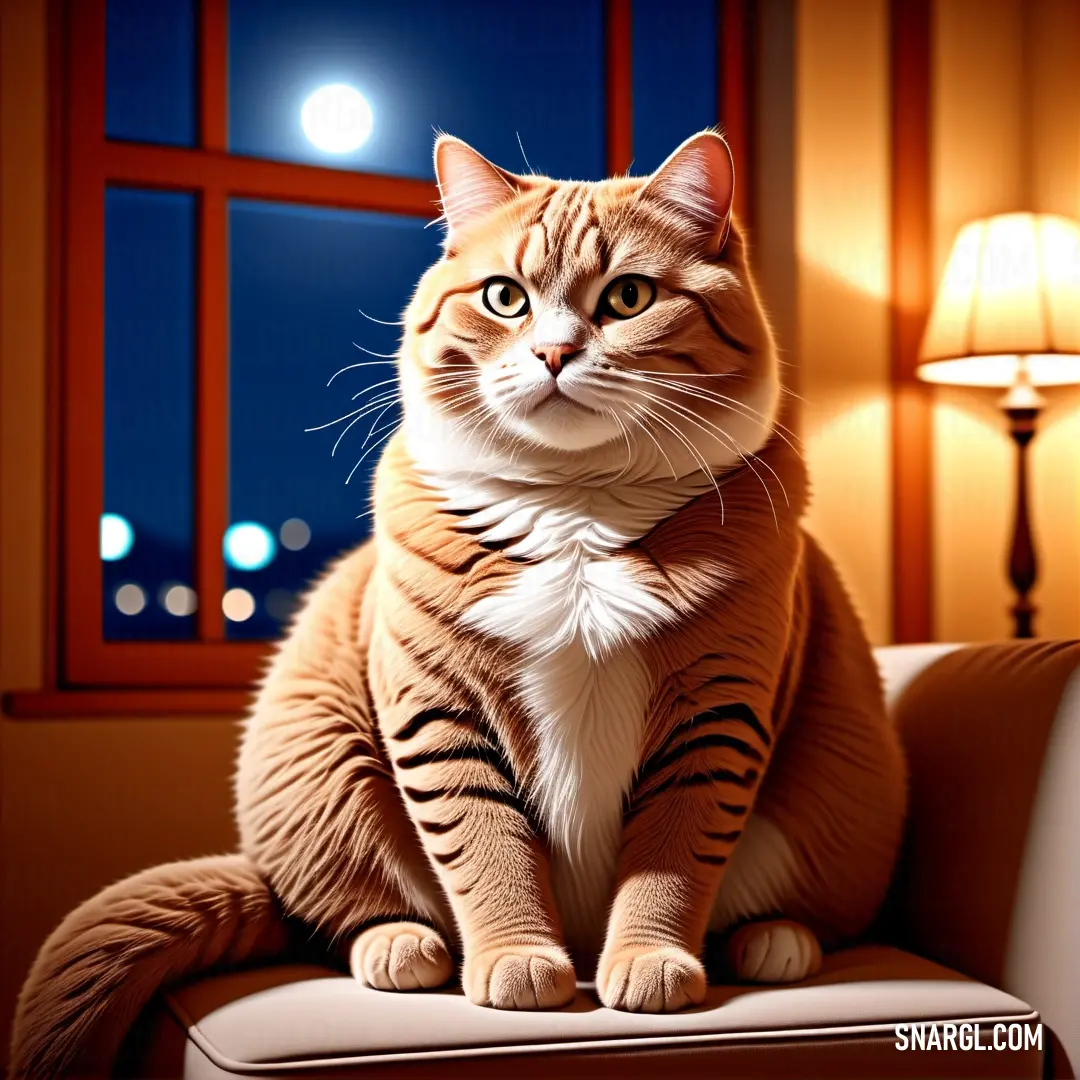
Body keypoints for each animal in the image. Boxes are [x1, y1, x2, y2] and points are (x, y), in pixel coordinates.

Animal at [10, 130, 902, 1075]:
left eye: (628, 297)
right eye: (504, 298)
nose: (554, 353)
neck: (576, 510)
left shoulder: (718, 714)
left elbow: (674, 849)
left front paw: (651, 959)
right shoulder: (437, 710)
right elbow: (483, 844)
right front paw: (516, 958)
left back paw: (774, 940)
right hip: (314, 761)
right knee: (332, 913)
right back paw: (400, 946)